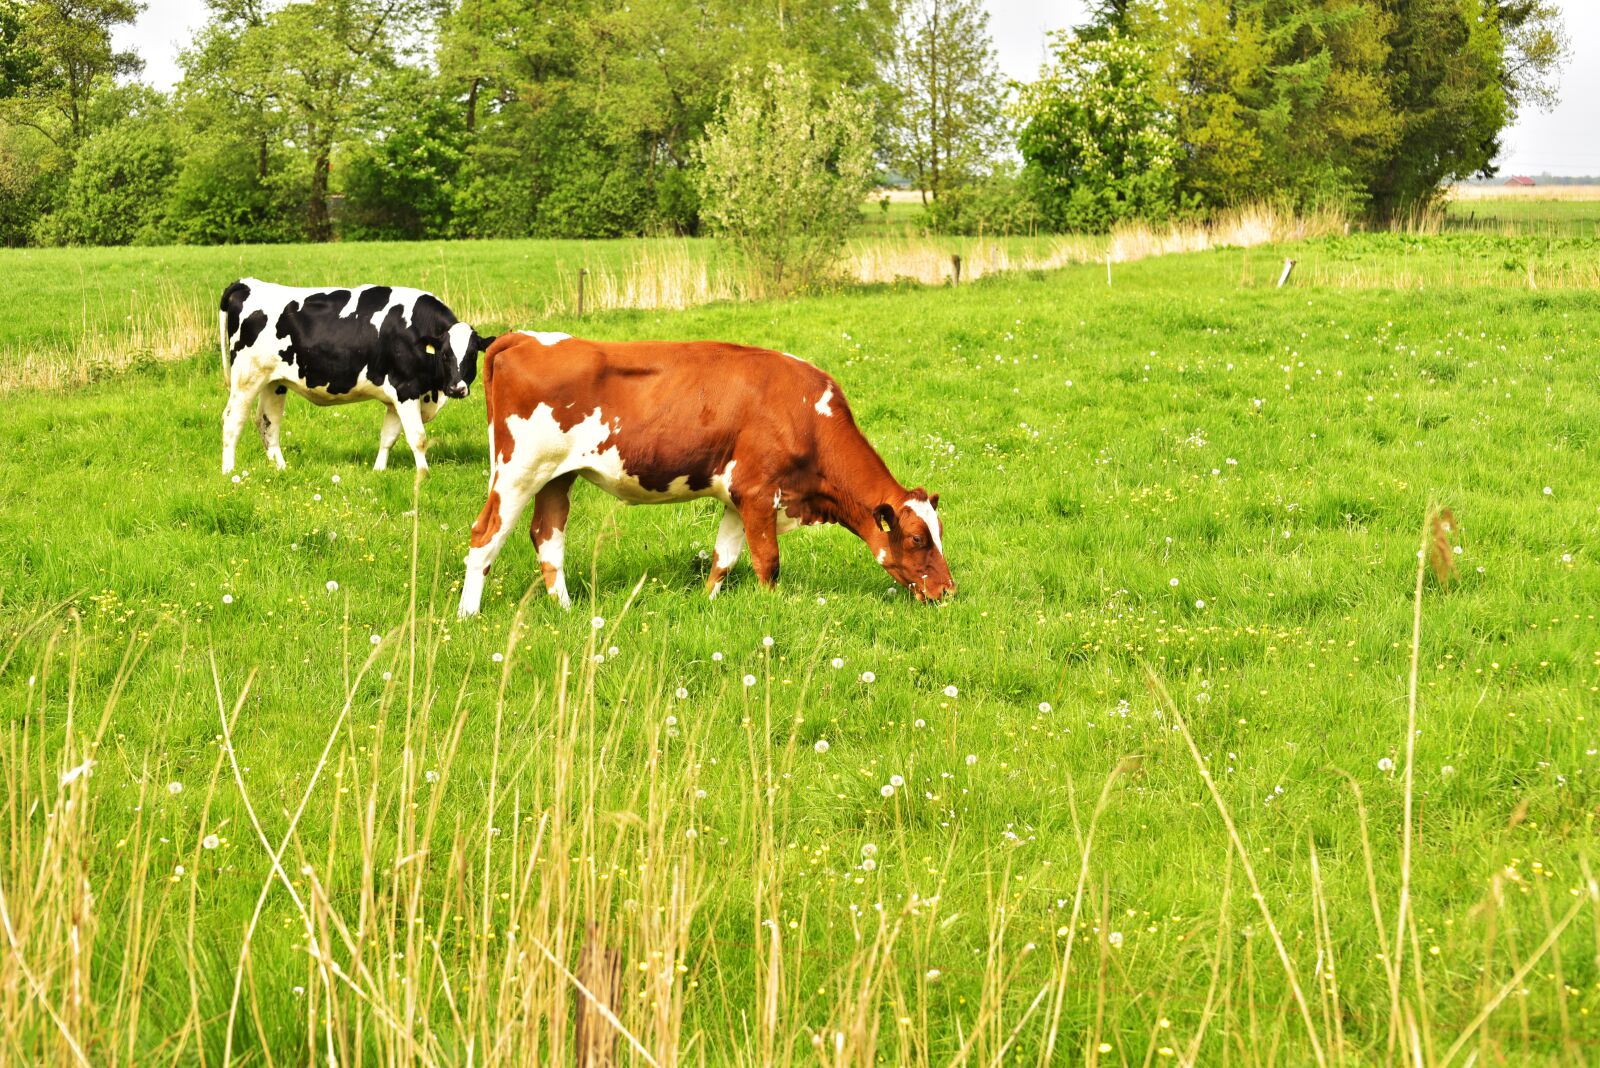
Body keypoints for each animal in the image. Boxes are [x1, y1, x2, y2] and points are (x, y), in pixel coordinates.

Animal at [218, 278, 493, 475]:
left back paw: (281, 468)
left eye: (472, 354)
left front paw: (379, 470)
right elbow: (418, 438)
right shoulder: (406, 389)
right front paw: (424, 475)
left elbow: (388, 437)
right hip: (246, 378)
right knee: (233, 420)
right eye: (445, 354)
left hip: (273, 382)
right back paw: (229, 472)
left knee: (267, 422)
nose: (457, 388)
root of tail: (247, 283)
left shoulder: (396, 396)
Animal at [456, 331, 954, 617]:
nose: (948, 590)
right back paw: (468, 614)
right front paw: (771, 612)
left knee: (547, 537)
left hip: (558, 475)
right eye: (917, 538)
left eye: (938, 532)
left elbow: (724, 559)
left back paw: (565, 609)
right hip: (518, 470)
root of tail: (522, 337)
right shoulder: (759, 492)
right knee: (486, 534)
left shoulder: (737, 497)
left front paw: (707, 605)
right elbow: (767, 562)